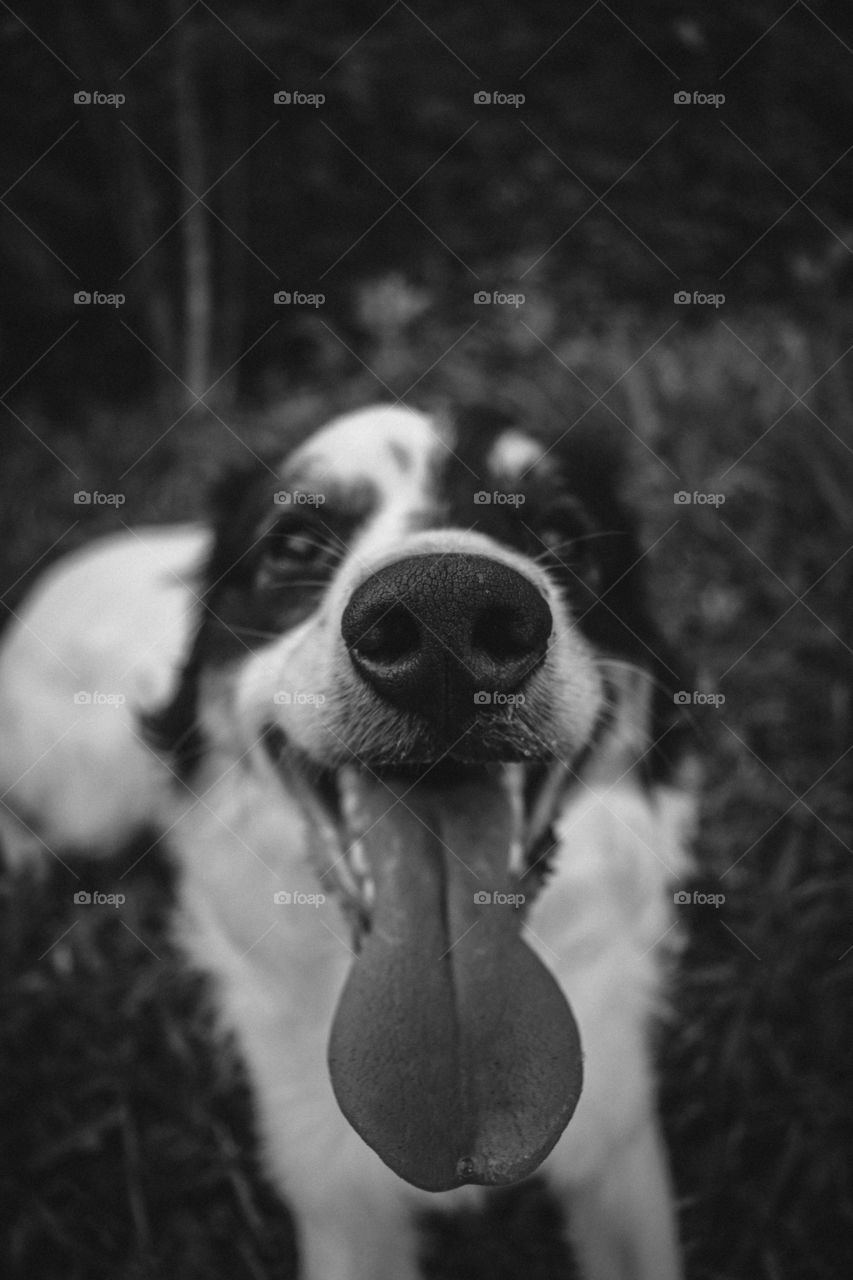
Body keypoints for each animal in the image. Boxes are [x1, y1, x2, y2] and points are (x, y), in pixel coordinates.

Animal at [0, 404, 691, 1280]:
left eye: (563, 532)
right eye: (293, 545)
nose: (444, 618)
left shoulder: (617, 1137)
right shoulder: (335, 1200)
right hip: (92, 796)